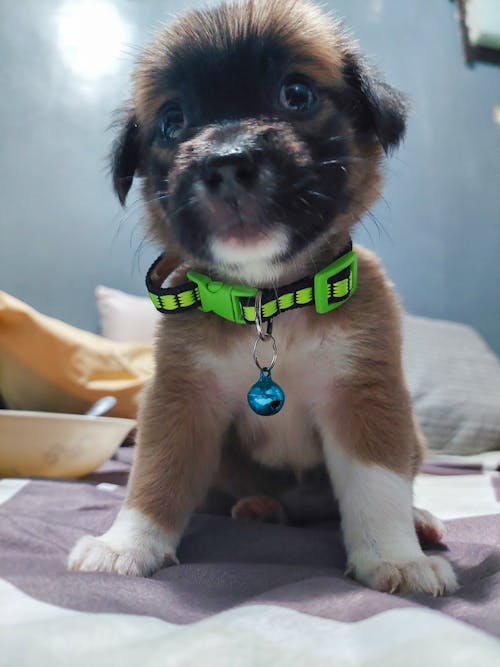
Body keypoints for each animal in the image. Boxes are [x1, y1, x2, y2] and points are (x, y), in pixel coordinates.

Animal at [68, 0, 458, 596]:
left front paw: (395, 556)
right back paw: (258, 507)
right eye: (173, 120)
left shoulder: (362, 396)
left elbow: (378, 484)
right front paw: (126, 545)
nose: (226, 162)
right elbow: (155, 475)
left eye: (295, 94)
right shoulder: (183, 399)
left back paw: (418, 522)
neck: (269, 304)